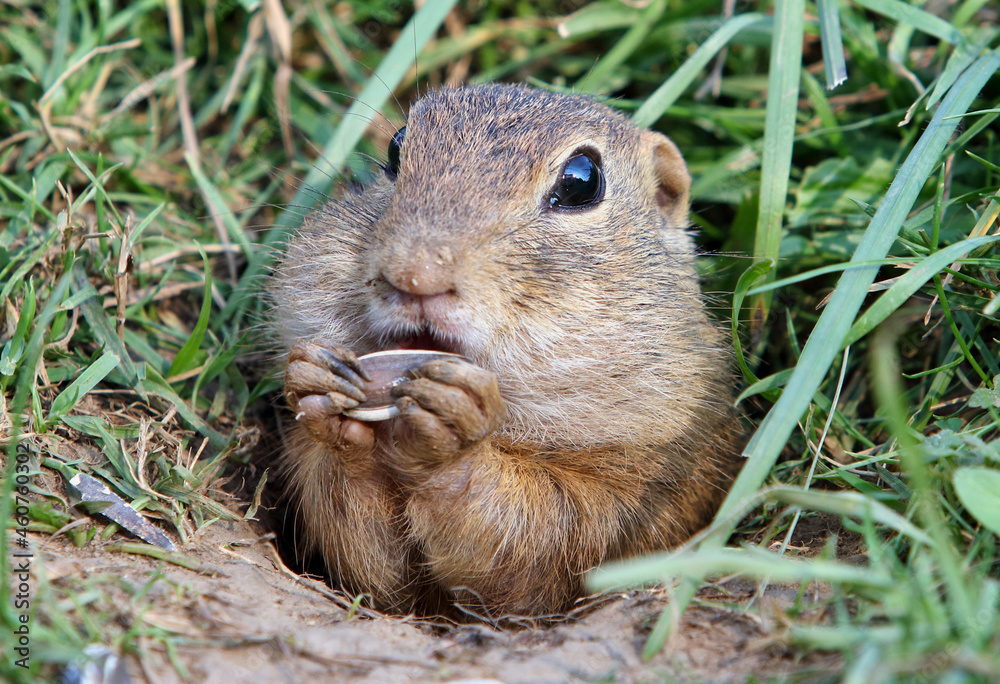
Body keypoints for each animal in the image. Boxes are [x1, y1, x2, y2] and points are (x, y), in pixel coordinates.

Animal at [270, 83, 742, 617]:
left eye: (582, 182)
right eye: (396, 148)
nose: (415, 276)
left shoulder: (645, 482)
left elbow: (537, 537)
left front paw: (453, 433)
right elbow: (373, 566)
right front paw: (316, 383)